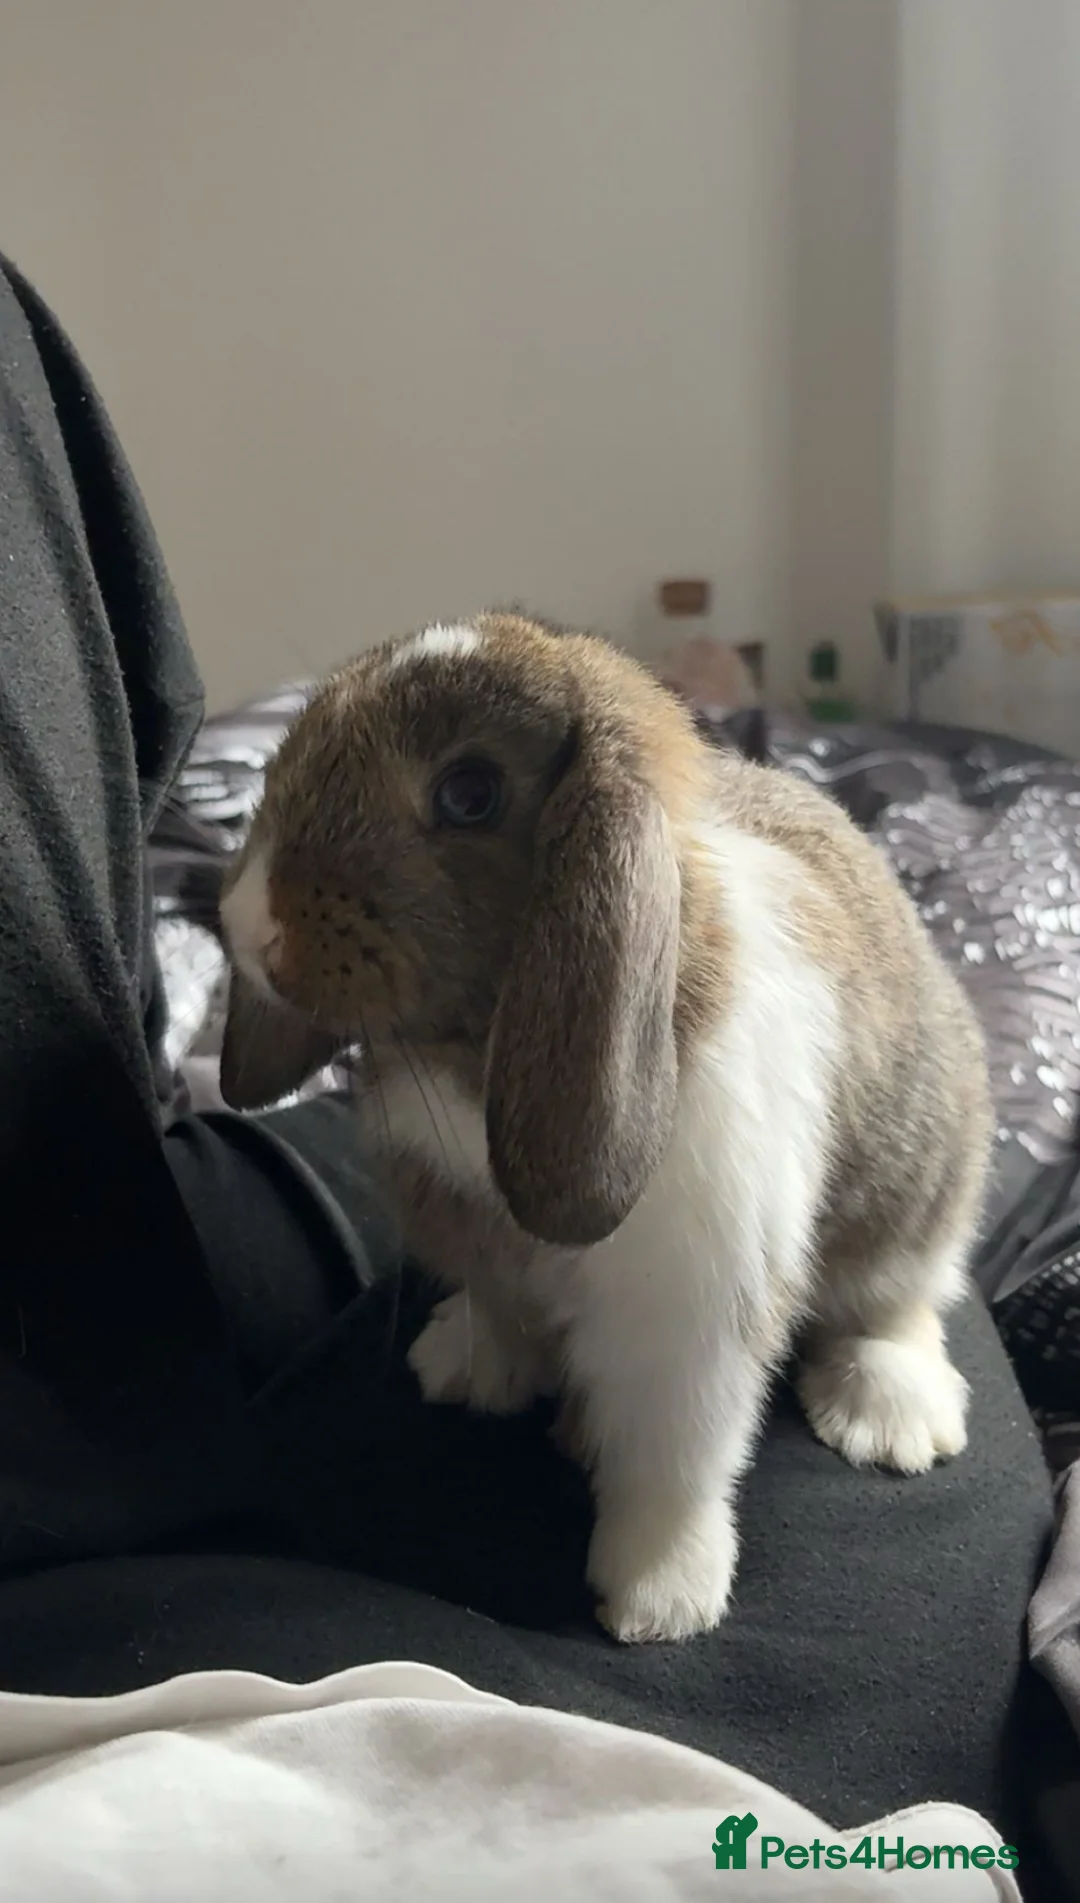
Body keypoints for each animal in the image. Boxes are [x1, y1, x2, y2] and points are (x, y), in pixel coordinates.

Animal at [217, 613, 992, 1645]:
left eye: (469, 793)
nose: (245, 918)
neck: (472, 1060)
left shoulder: (688, 1312)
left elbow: (673, 1460)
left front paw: (657, 1600)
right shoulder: (483, 1244)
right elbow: (501, 1309)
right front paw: (468, 1370)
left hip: (922, 1197)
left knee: (903, 1302)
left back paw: (888, 1417)